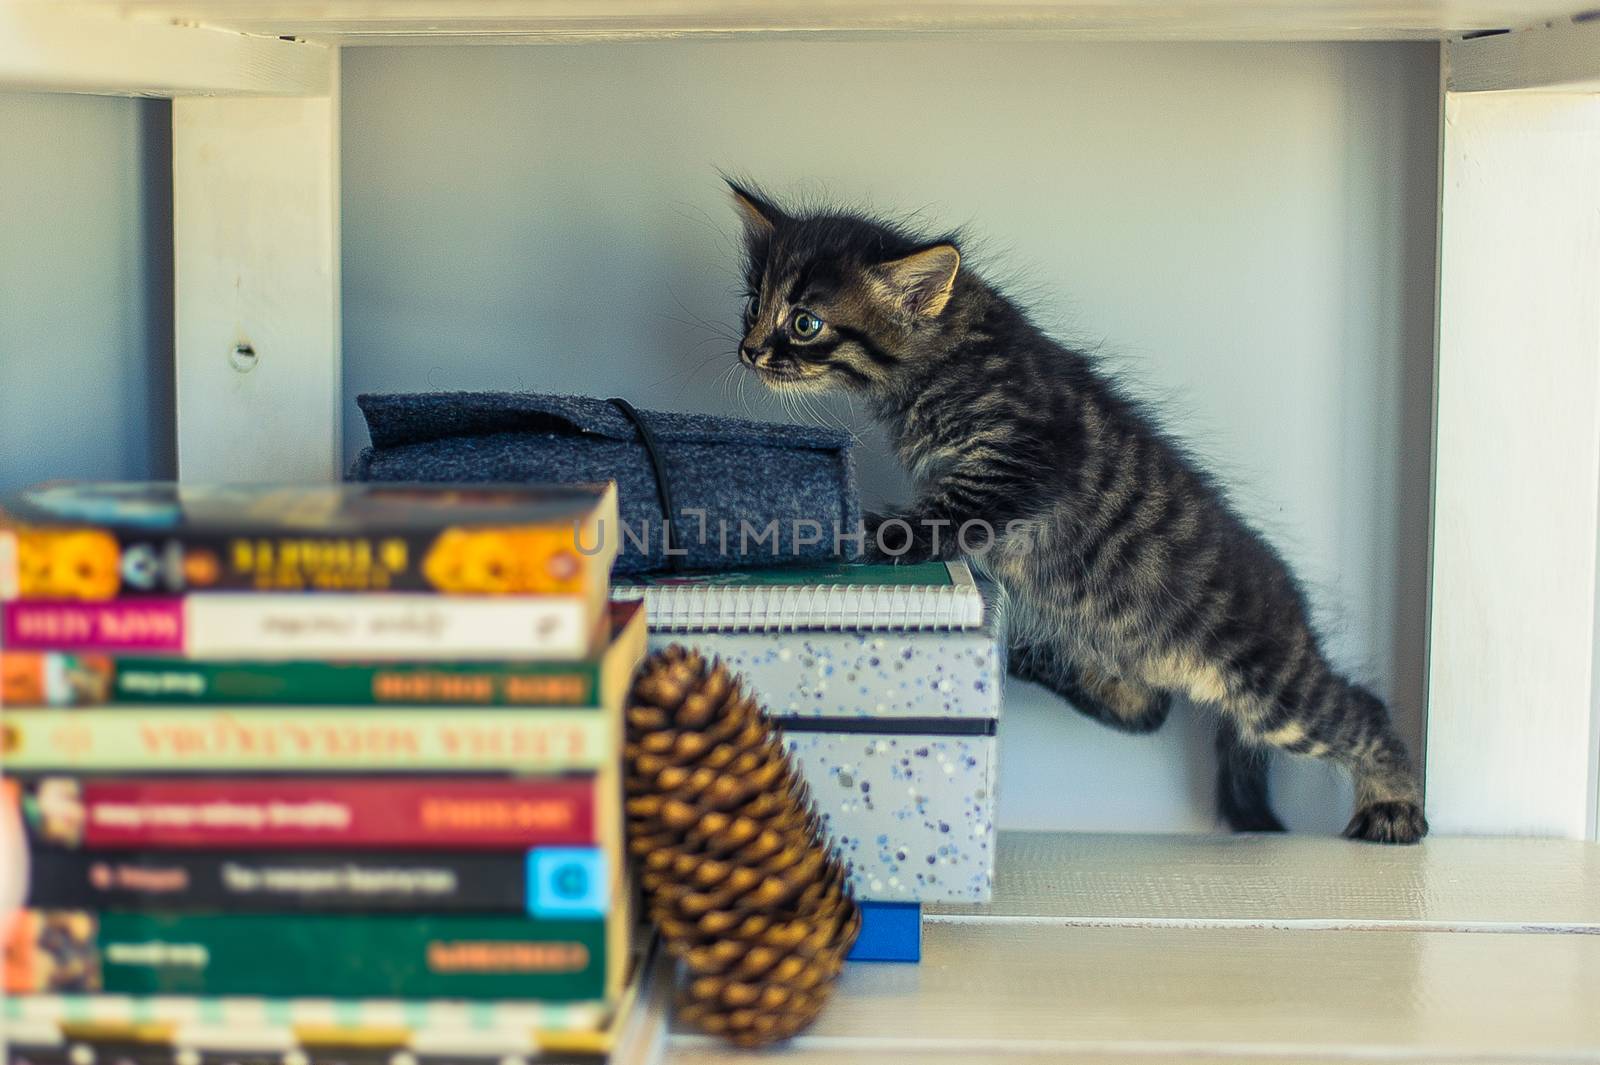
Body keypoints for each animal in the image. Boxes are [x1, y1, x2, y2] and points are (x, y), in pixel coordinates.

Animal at [732, 184, 1433, 844]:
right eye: (752, 307)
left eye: (805, 324)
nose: (749, 350)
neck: (953, 354)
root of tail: (1295, 609)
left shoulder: (1025, 458)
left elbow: (937, 518)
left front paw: (851, 524)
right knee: (1148, 709)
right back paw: (1036, 658)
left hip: (1267, 680)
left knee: (1361, 710)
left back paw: (1395, 805)